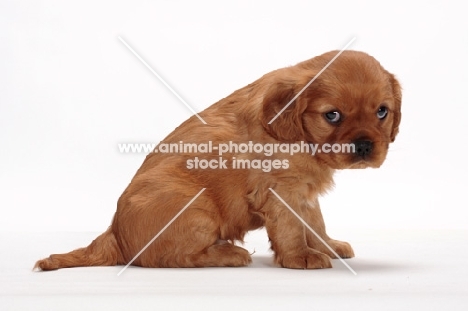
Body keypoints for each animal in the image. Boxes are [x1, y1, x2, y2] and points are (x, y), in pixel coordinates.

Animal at [35, 50, 402, 270]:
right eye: (332, 115)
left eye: (382, 112)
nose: (364, 146)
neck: (297, 136)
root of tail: (114, 234)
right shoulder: (280, 190)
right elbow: (291, 228)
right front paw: (300, 256)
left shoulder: (303, 193)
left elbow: (315, 222)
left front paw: (328, 246)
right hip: (196, 207)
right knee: (170, 258)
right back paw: (229, 253)